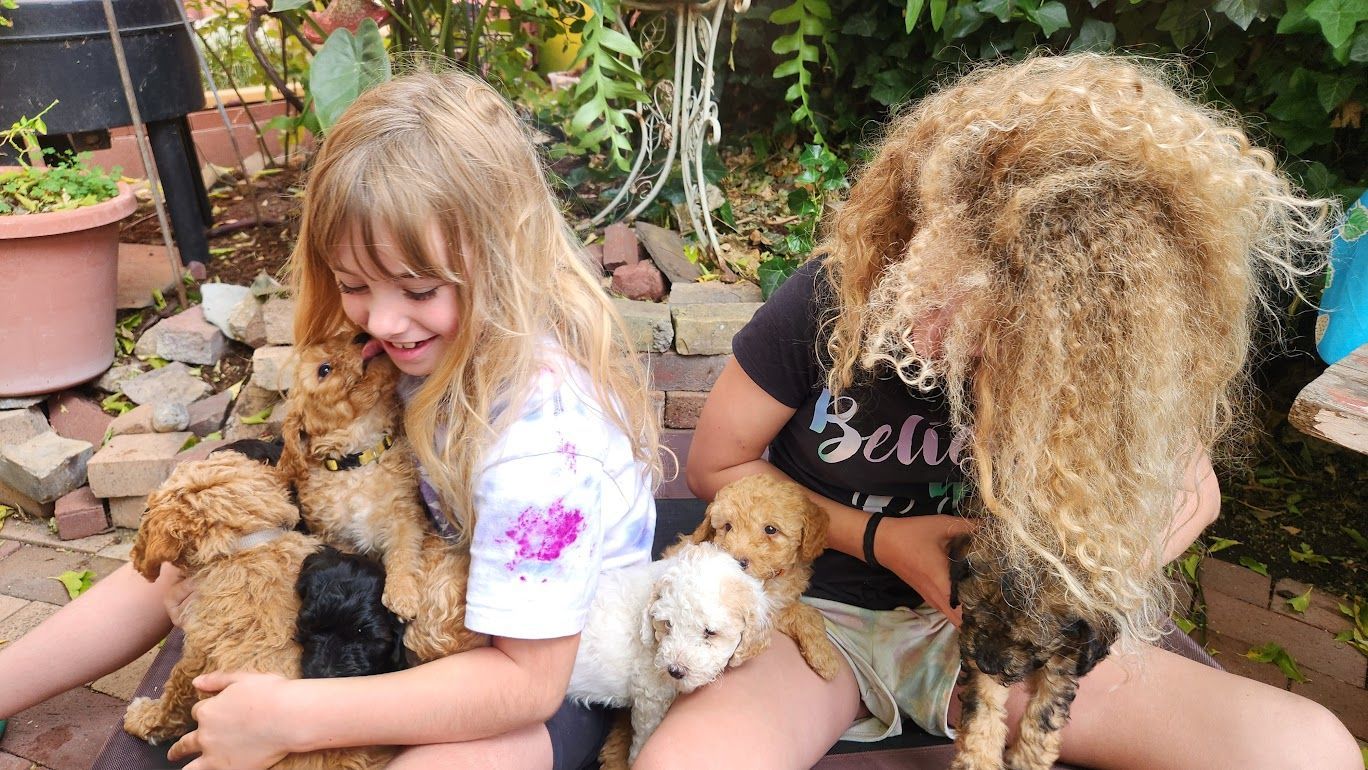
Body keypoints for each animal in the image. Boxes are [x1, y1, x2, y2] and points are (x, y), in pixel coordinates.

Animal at [279, 331, 487, 662]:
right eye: (324, 370)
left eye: (344, 337)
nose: (361, 336)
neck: (360, 459)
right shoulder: (338, 536)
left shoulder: (405, 517)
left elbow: (402, 555)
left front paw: (402, 596)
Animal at [568, 542, 770, 768]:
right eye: (667, 624)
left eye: (710, 632)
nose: (674, 671)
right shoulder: (650, 695)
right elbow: (645, 733)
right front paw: (635, 758)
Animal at [671, 474, 842, 680]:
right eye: (727, 526)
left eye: (770, 529)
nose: (738, 561)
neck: (763, 582)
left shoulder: (775, 608)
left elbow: (808, 614)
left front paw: (824, 655)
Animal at [948, 532, 1115, 770]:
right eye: (972, 617)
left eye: (1030, 644)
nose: (986, 664)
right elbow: (983, 705)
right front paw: (977, 760)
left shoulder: (1067, 657)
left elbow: (1045, 712)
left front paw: (1026, 760)